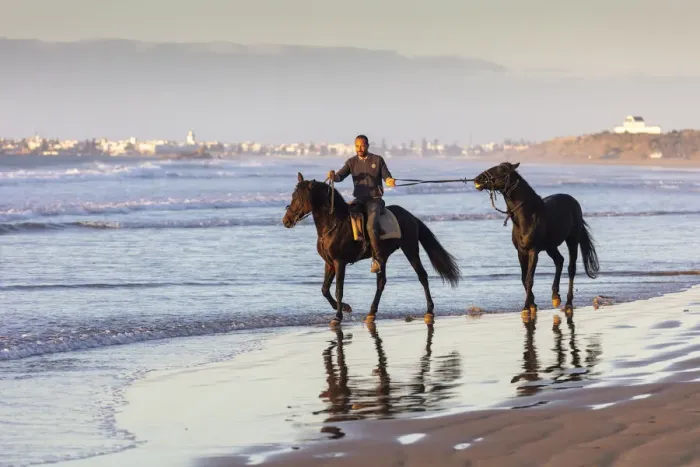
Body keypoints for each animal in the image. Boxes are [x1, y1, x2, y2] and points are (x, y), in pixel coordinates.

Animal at [282, 172, 461, 326]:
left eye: (300, 198)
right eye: (293, 196)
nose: (286, 221)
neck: (334, 223)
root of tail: (411, 216)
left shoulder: (340, 262)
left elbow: (339, 289)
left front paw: (338, 316)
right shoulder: (330, 263)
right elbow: (325, 289)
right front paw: (345, 307)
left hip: (410, 249)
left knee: (422, 276)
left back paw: (429, 311)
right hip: (383, 255)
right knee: (381, 282)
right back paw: (371, 313)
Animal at [473, 162, 600, 317]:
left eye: (501, 170)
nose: (478, 179)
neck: (527, 216)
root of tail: (574, 202)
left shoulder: (534, 251)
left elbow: (529, 279)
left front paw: (526, 307)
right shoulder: (521, 252)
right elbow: (524, 277)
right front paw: (532, 305)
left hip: (572, 240)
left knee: (571, 268)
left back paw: (568, 303)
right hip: (551, 246)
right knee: (559, 261)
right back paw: (555, 297)